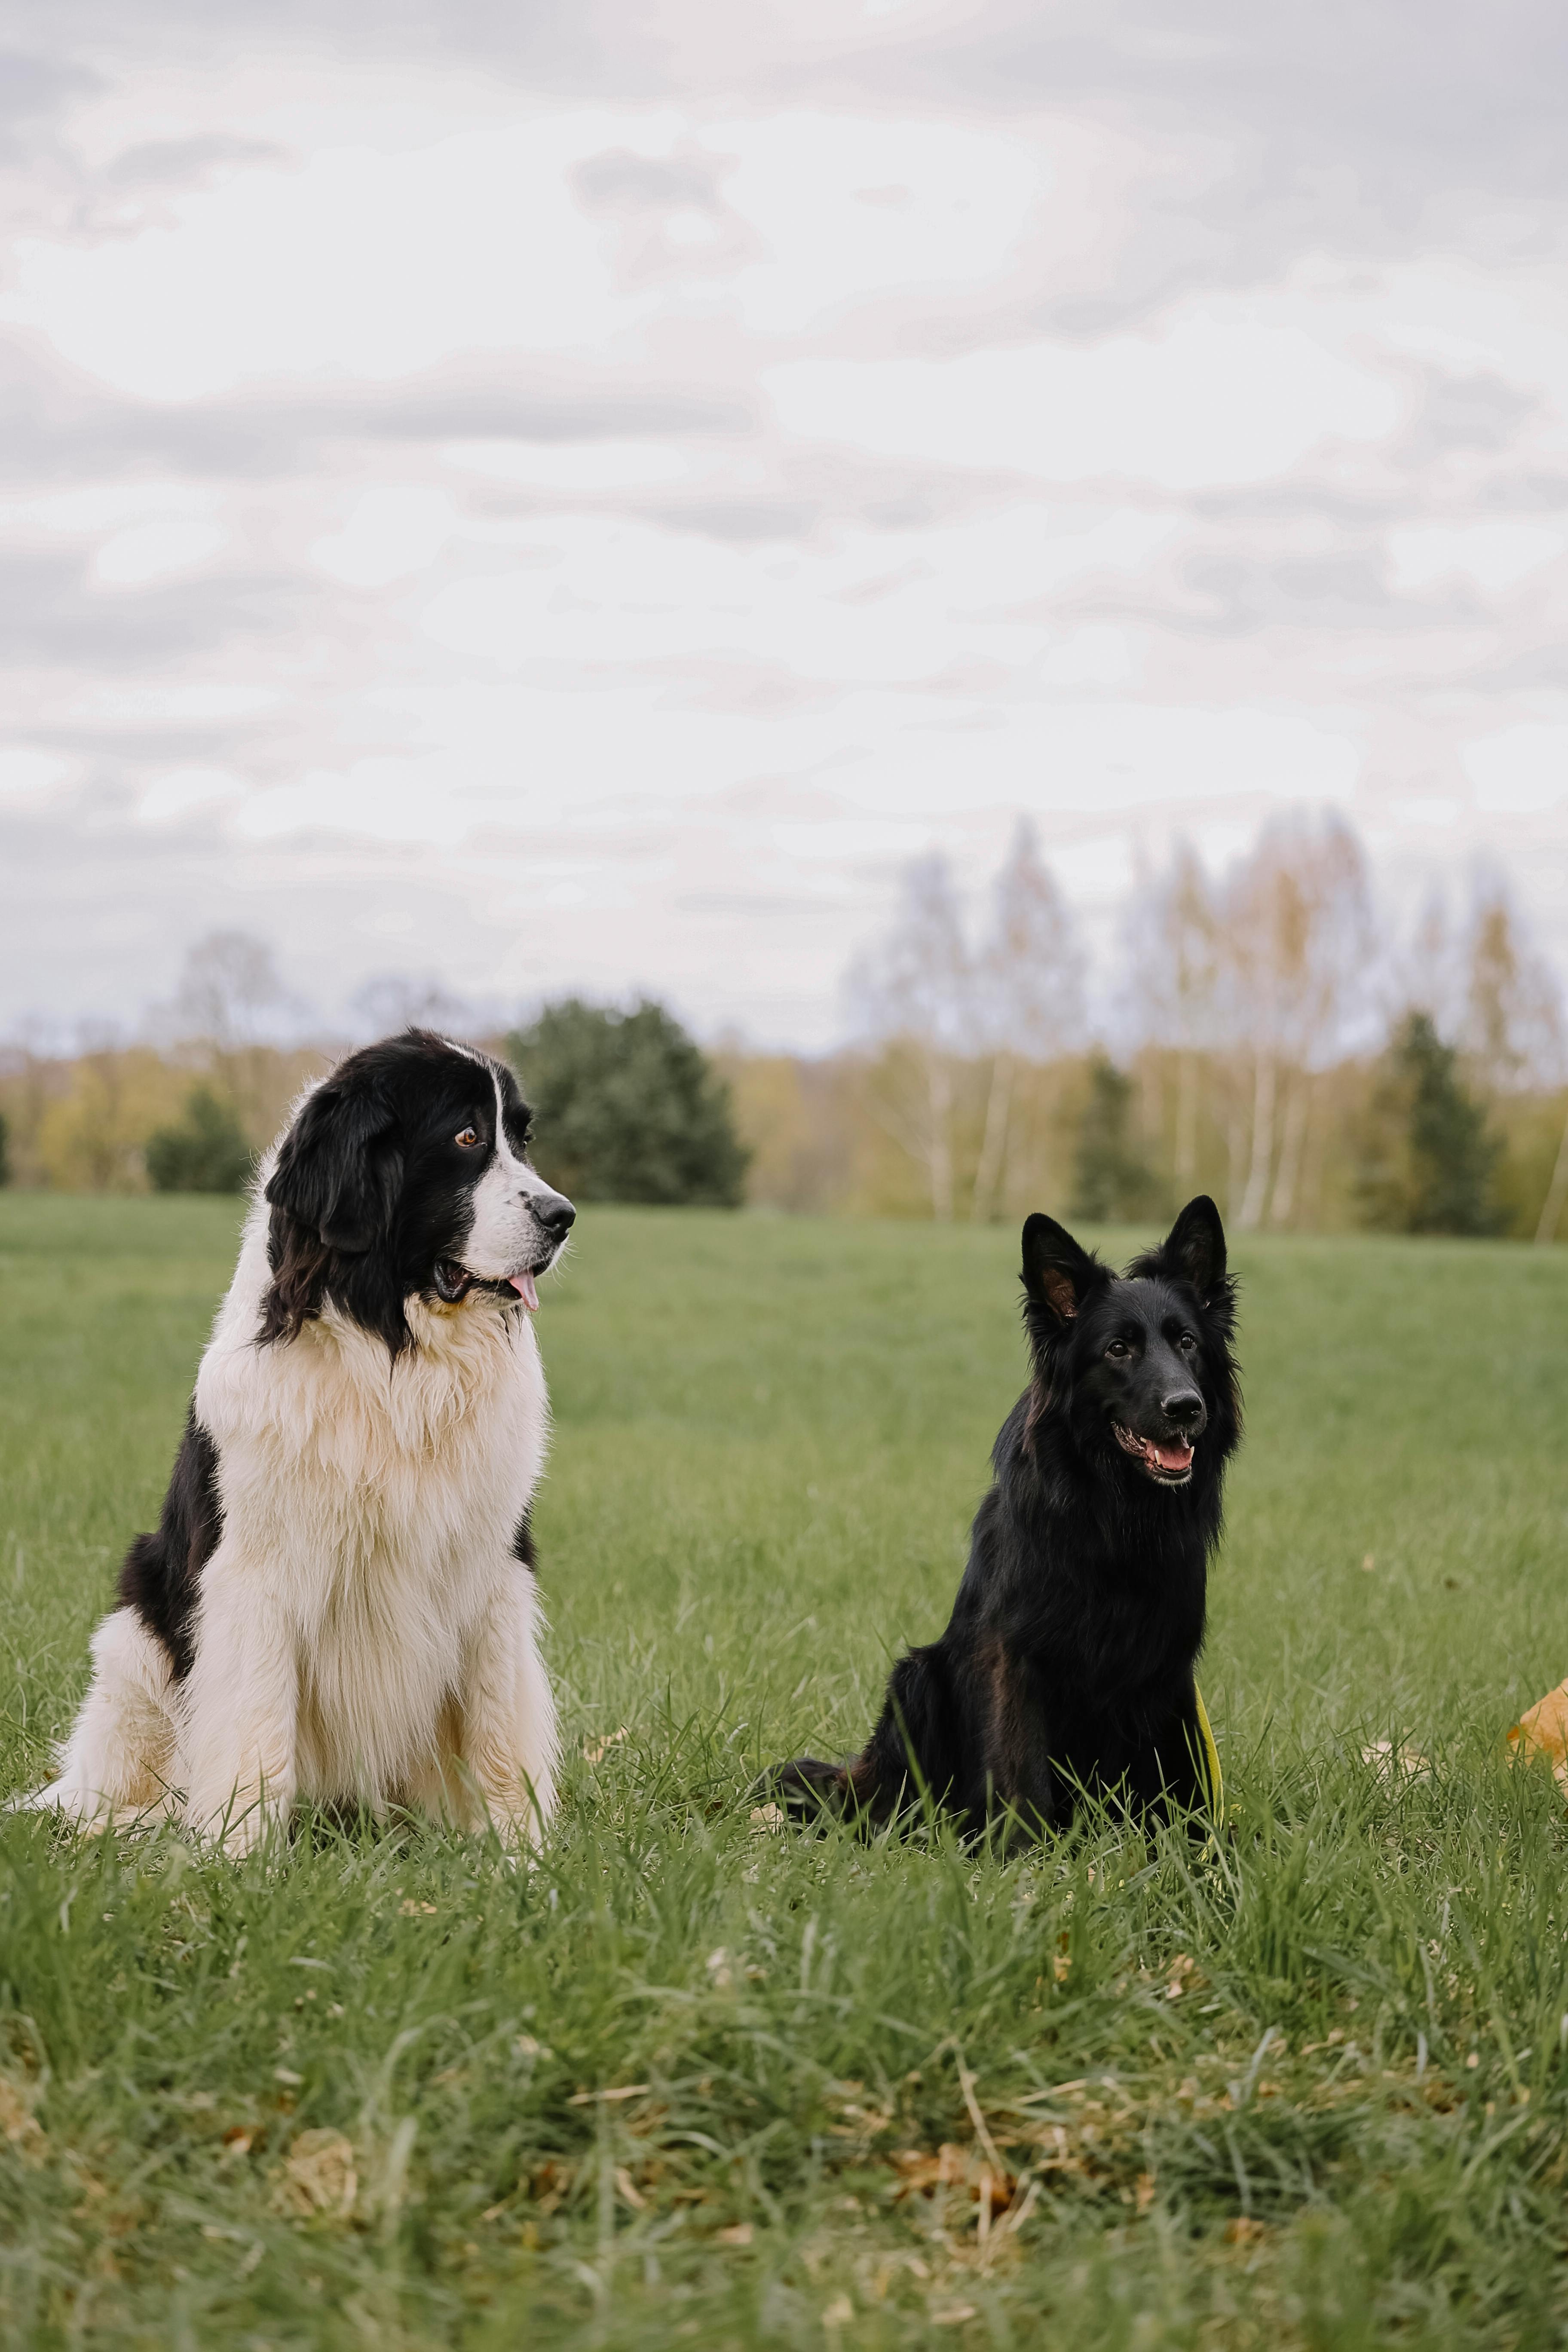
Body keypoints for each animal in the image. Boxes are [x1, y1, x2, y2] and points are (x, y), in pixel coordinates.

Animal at [20, 1030, 576, 1853]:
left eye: (522, 1138)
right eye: (467, 1138)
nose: (563, 1215)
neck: (392, 1358)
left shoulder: (493, 1564)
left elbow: (500, 1726)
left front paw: (520, 1855)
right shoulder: (253, 1571)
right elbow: (252, 1723)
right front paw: (236, 1855)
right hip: (136, 1630)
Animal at [771, 1204, 1241, 1844]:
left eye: (1187, 1342)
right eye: (1118, 1348)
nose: (1186, 1407)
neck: (1115, 1515)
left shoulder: (1167, 1671)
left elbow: (1176, 1784)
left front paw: (1188, 1855)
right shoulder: (1014, 1657)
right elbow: (1021, 1770)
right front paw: (1023, 1858)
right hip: (919, 1677)